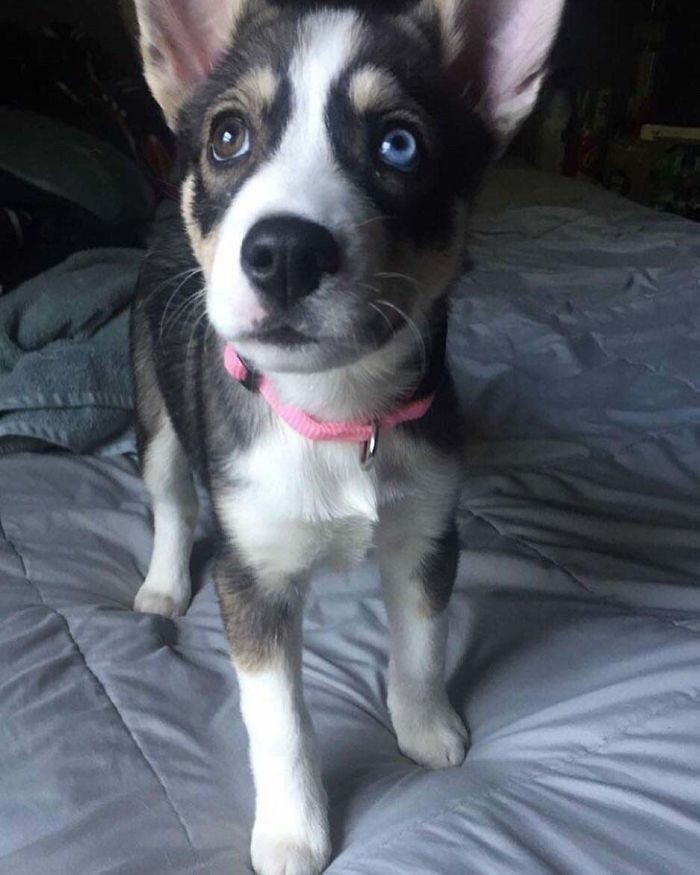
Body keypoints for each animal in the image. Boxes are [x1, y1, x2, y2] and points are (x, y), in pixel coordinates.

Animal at [127, 3, 564, 872]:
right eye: (228, 137)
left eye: (400, 144)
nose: (285, 251)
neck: (335, 412)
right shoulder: (252, 577)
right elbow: (279, 720)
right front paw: (293, 829)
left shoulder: (429, 533)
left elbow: (422, 646)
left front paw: (426, 726)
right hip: (155, 406)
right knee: (171, 499)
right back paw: (162, 582)